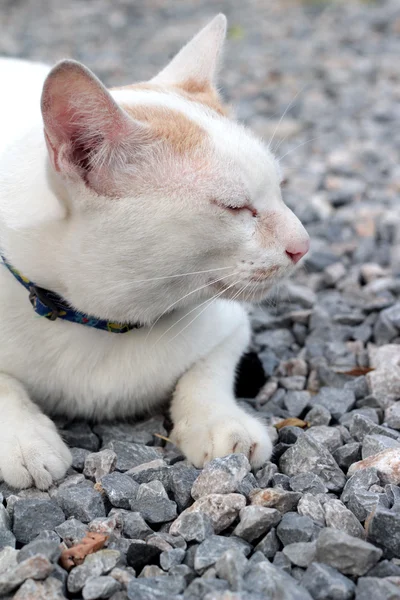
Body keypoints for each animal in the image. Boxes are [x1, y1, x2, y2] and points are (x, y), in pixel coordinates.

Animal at [0, 16, 310, 490]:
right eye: (236, 207)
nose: (303, 244)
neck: (104, 323)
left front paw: (220, 423)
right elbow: (4, 387)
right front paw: (26, 440)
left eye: (280, 189)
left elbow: (206, 373)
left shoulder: (229, 327)